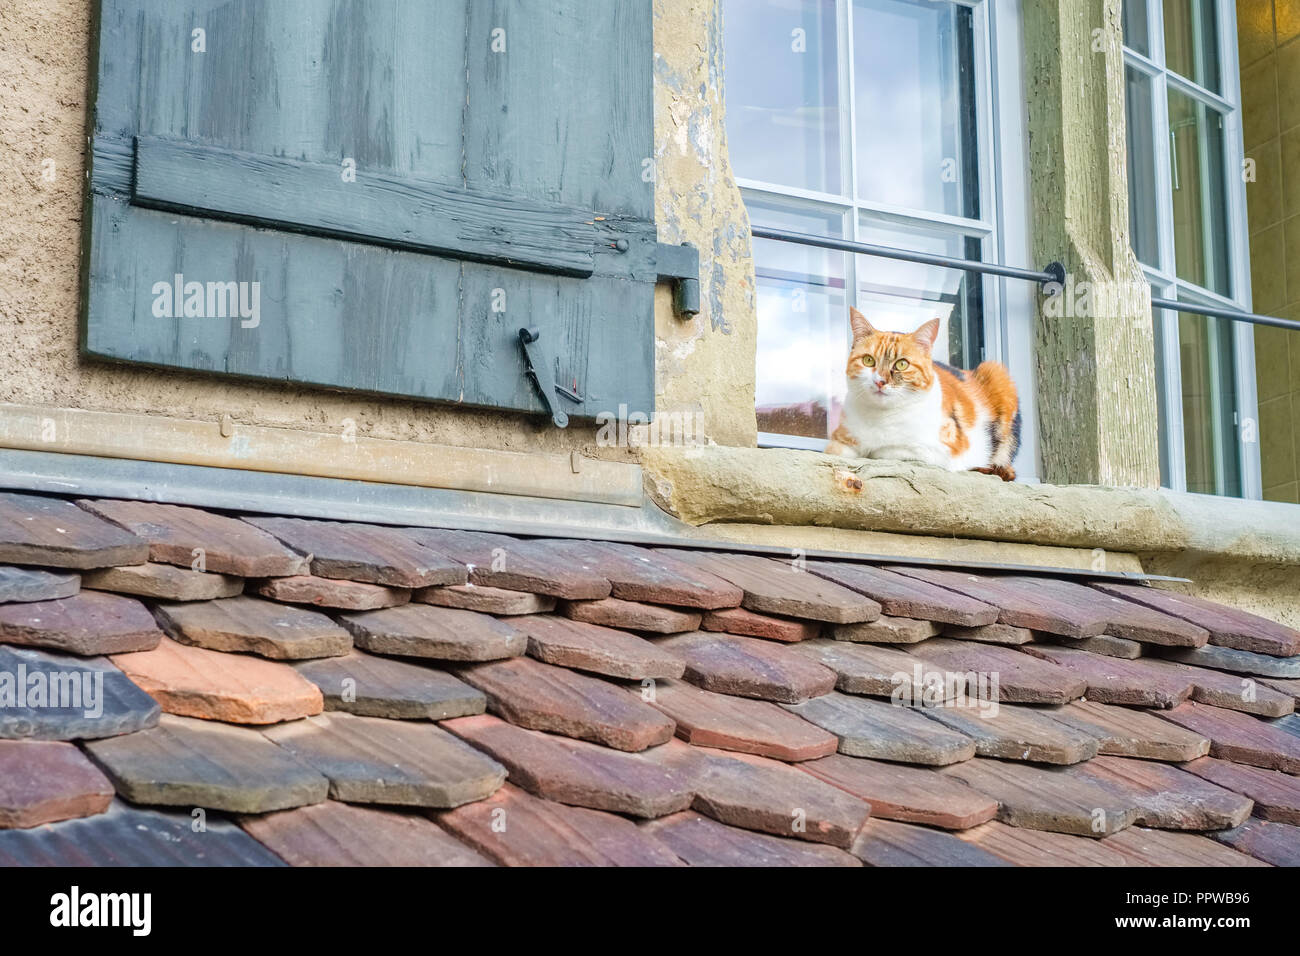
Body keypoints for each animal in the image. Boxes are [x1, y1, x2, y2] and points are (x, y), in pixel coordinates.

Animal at [826, 310, 1019, 481]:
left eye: (902, 364)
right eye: (868, 360)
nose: (880, 381)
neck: (880, 418)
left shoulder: (941, 451)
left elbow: (886, 451)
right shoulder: (839, 439)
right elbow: (837, 450)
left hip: (996, 374)